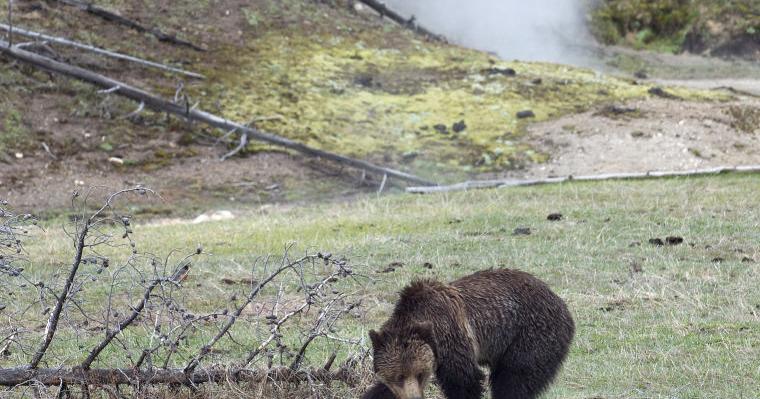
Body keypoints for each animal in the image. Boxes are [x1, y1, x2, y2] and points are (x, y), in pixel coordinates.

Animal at [366, 268, 572, 399]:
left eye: (420, 374)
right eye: (397, 377)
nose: (415, 398)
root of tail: (561, 304)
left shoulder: (451, 338)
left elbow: (465, 381)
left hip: (529, 336)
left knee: (513, 380)